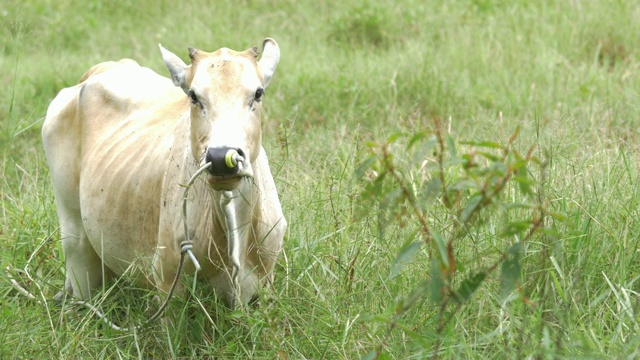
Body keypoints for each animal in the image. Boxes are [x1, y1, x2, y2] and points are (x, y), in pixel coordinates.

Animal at [41, 38, 286, 306]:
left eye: (258, 93)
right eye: (193, 96)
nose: (221, 157)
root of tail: (97, 71)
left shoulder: (264, 285)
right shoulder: (168, 282)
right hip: (76, 240)